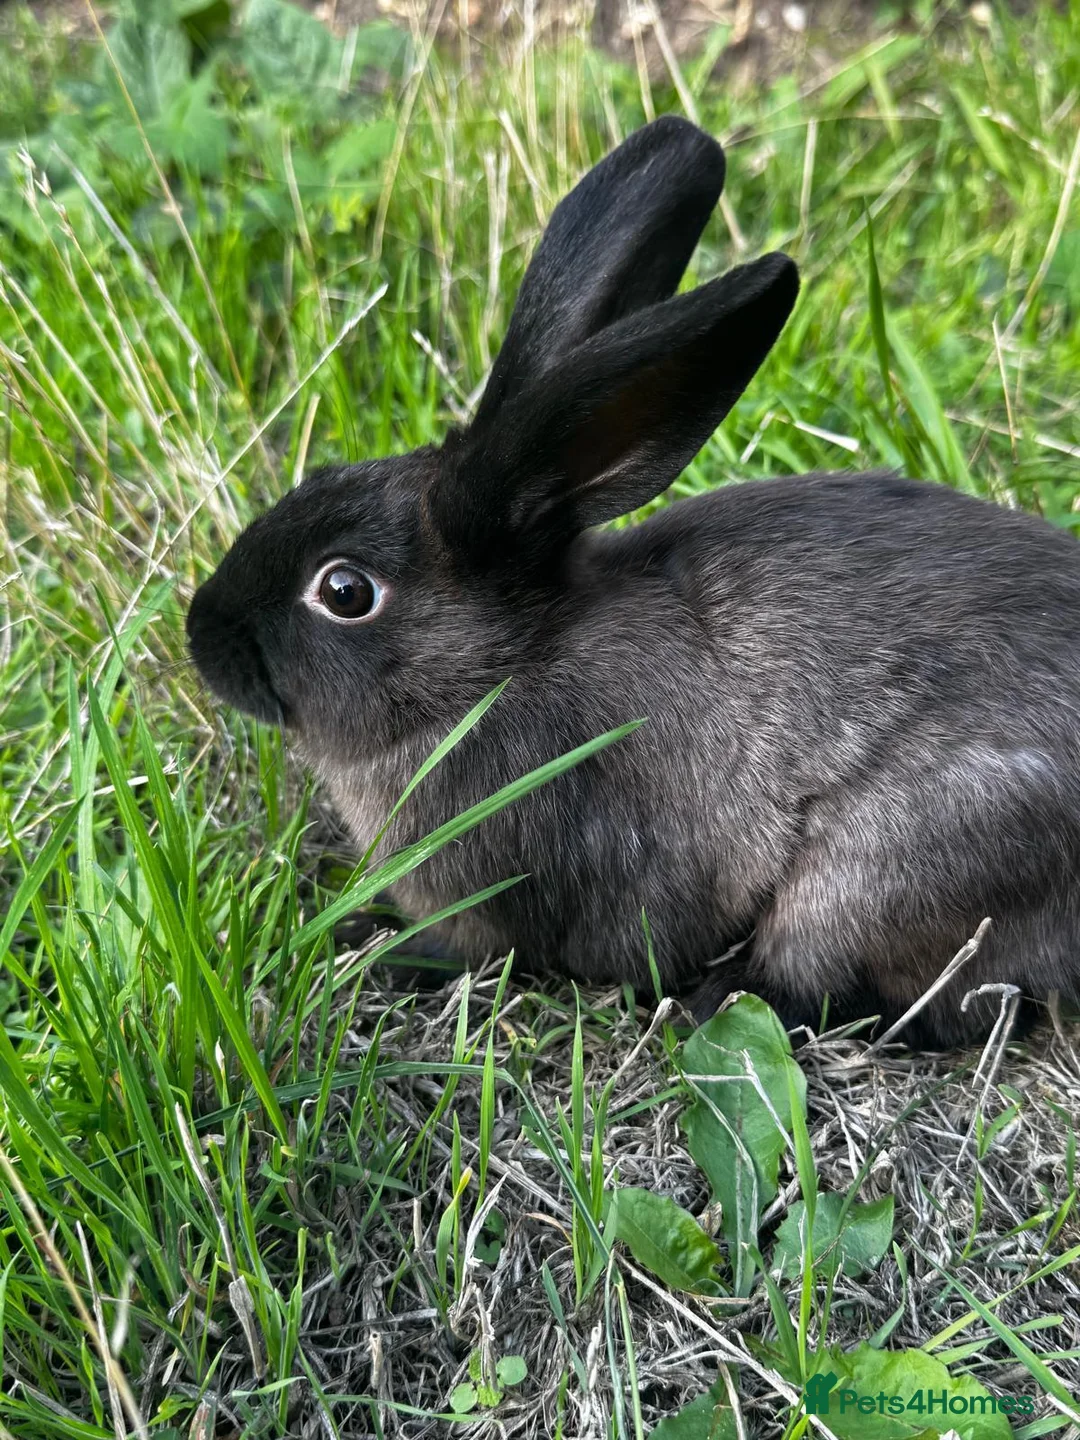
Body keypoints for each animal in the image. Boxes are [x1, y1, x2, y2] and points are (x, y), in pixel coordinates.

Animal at [187, 113, 1080, 1049]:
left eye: (345, 591)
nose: (202, 633)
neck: (497, 670)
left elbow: (474, 949)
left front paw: (370, 945)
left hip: (878, 869)